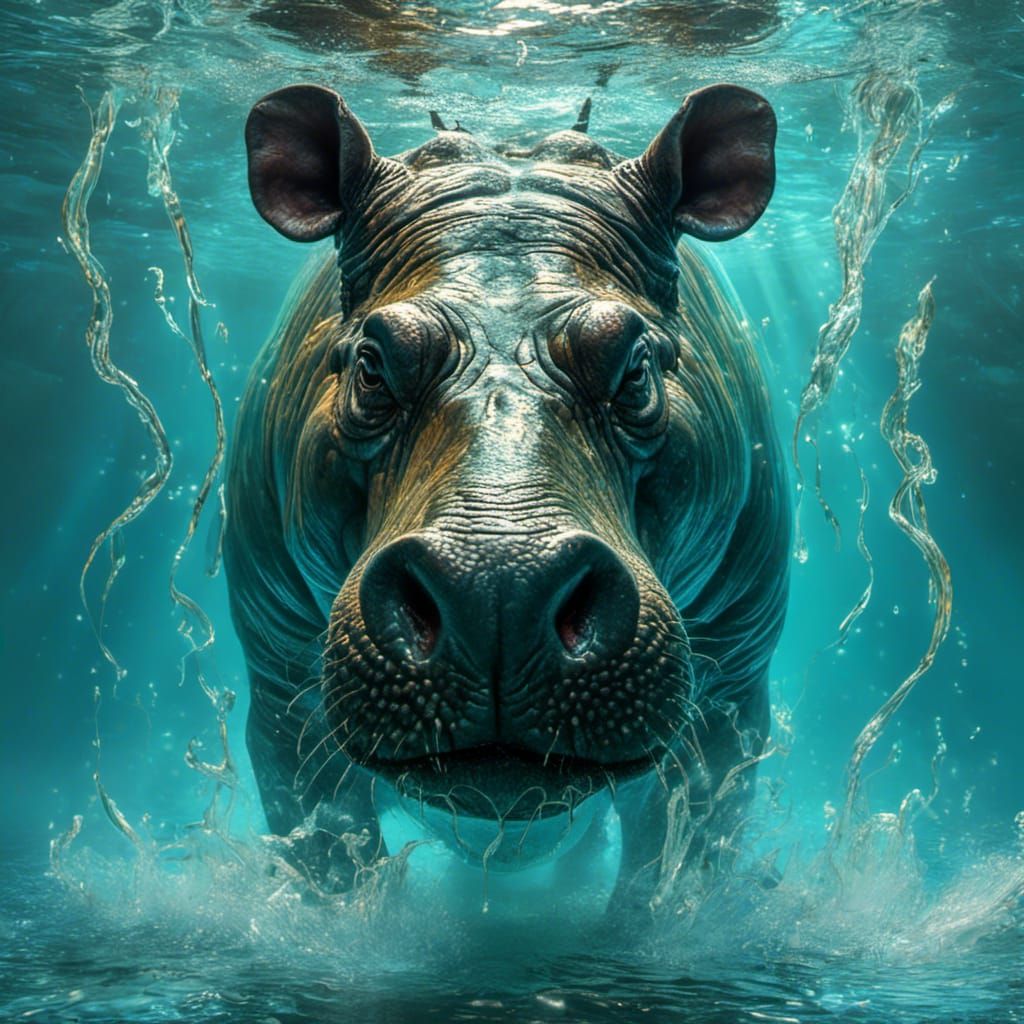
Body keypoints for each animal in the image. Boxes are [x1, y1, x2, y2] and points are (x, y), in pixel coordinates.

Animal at [225, 82, 790, 908]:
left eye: (636, 368)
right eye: (369, 364)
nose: (497, 588)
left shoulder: (731, 688)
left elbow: (671, 874)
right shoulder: (278, 686)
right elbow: (333, 860)